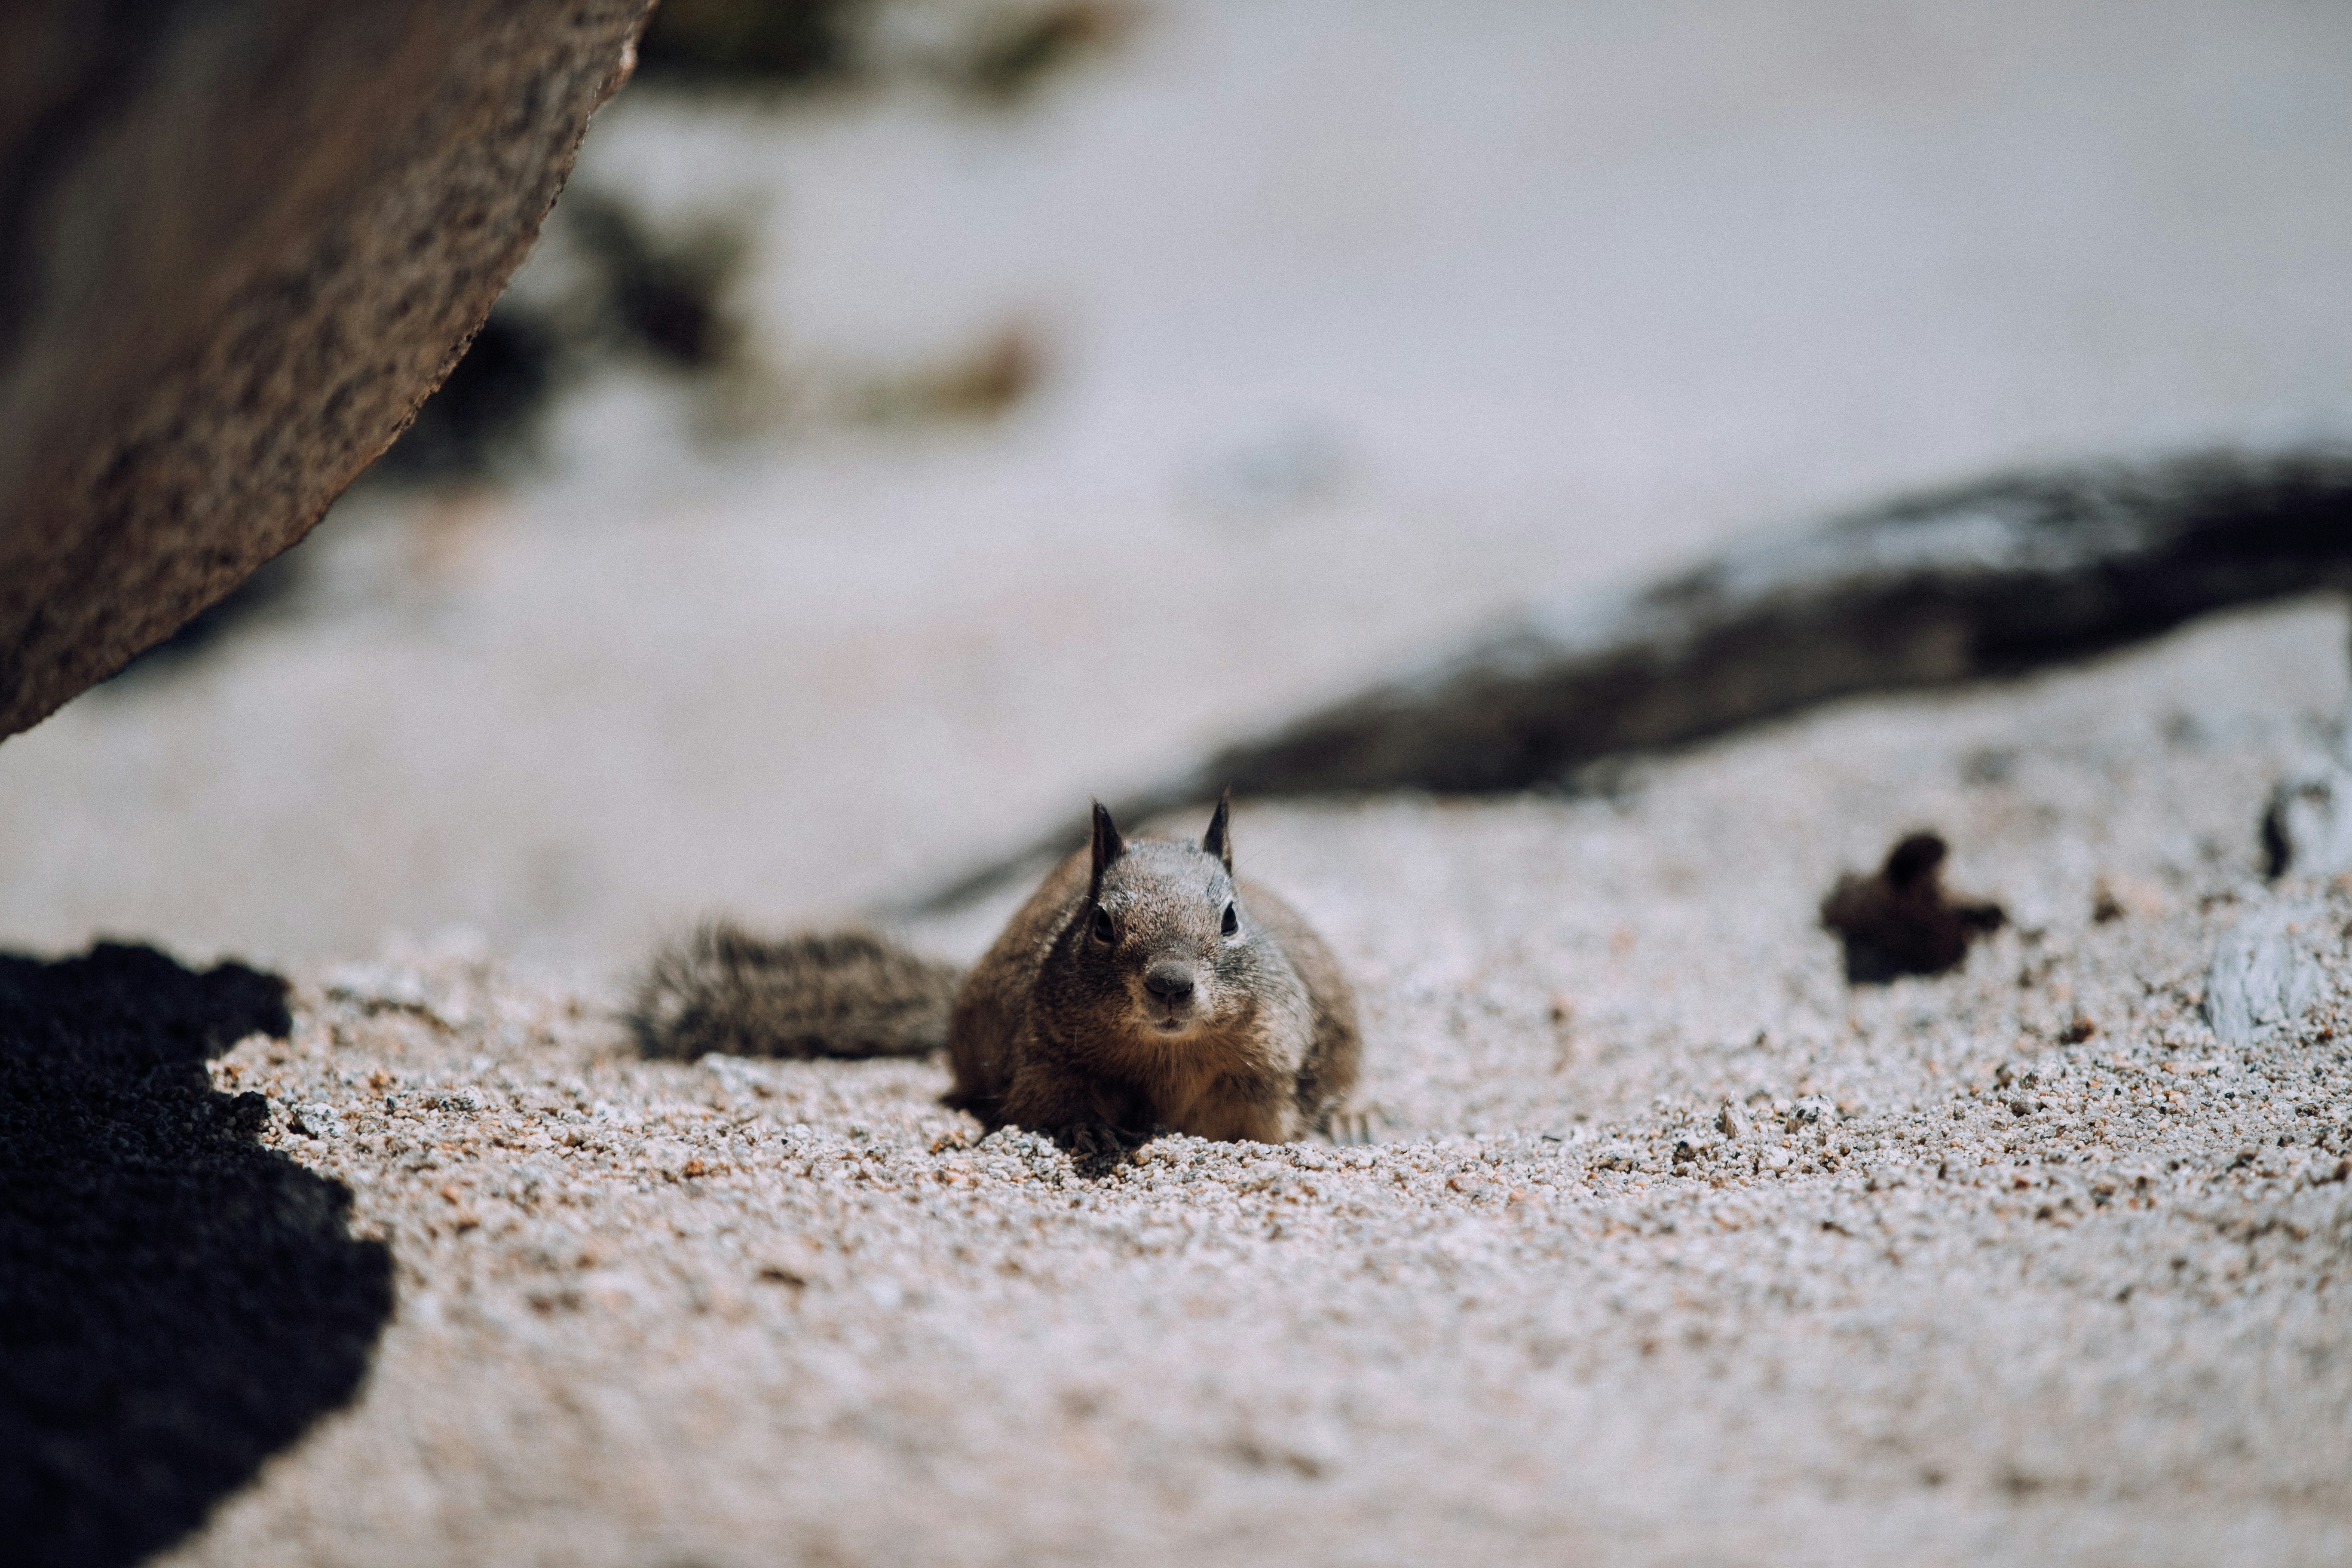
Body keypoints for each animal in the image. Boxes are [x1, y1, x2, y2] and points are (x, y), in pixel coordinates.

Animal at [630, 794, 1362, 1151]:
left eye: (1231, 918)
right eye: (1101, 923)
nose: (1171, 985)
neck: (1168, 1055)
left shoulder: (1264, 1075)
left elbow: (1257, 1127)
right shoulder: (1041, 1058)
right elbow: (1050, 1103)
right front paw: (1090, 1129)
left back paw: (1355, 1117)